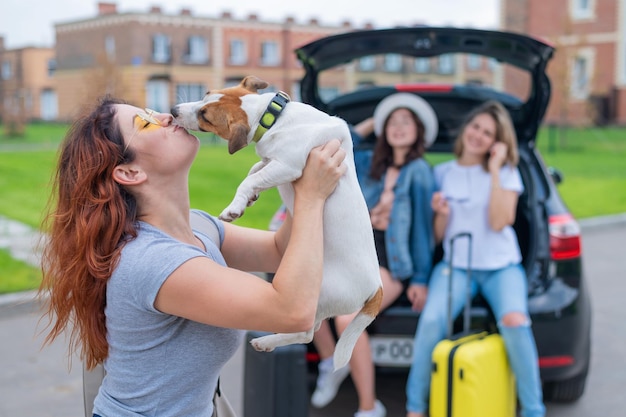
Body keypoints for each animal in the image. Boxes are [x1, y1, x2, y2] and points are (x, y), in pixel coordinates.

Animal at [173, 75, 382, 368]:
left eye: (205, 115)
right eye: (206, 94)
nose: (173, 110)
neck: (271, 115)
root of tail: (376, 289)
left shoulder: (287, 166)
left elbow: (249, 179)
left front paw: (235, 206)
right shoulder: (272, 162)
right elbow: (254, 171)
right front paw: (250, 198)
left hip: (317, 294)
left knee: (307, 333)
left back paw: (266, 341)